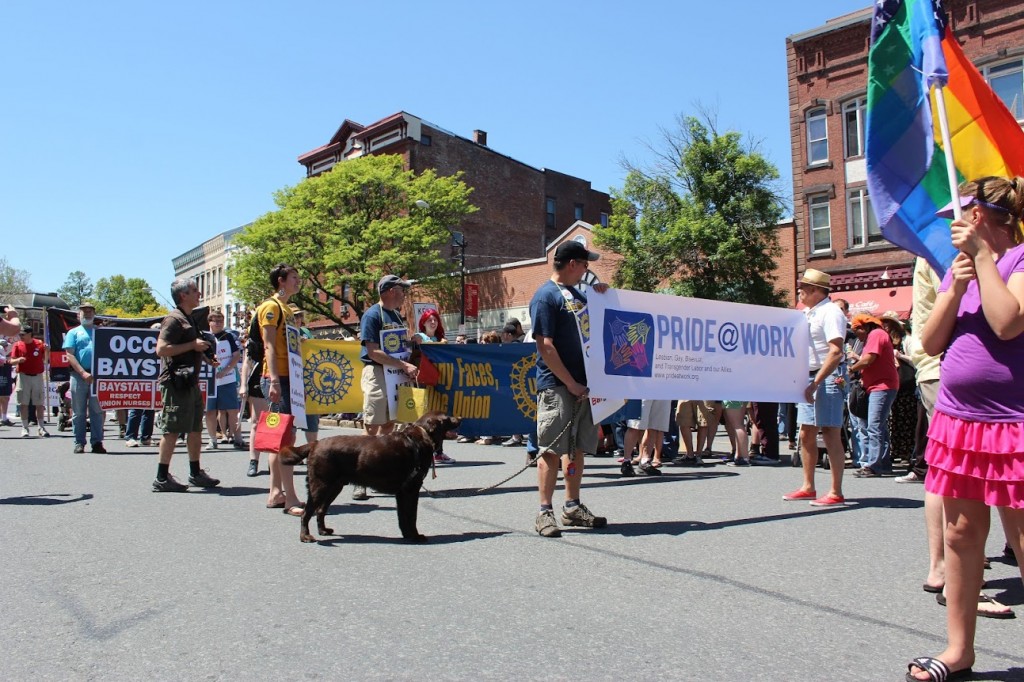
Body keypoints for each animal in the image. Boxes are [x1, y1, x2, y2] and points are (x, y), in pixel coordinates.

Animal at [278, 409, 458, 540]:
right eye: (448, 418)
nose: (460, 418)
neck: (421, 436)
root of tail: (315, 444)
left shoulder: (402, 492)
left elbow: (403, 517)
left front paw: (407, 535)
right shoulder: (411, 489)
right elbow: (411, 516)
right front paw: (415, 536)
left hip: (334, 487)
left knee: (320, 510)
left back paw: (323, 531)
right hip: (320, 485)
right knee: (306, 513)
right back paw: (305, 536)